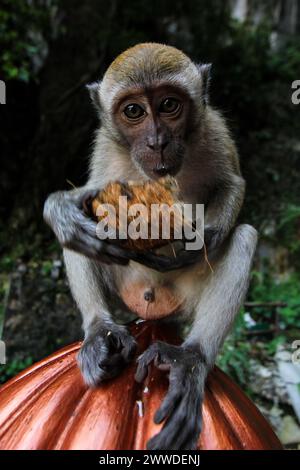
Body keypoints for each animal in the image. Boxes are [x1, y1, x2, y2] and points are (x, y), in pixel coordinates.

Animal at [43, 44, 256, 452]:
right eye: (134, 111)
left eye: (169, 104)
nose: (157, 142)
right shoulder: (104, 148)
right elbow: (88, 196)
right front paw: (61, 209)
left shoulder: (212, 128)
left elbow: (233, 184)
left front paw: (203, 238)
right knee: (83, 242)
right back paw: (100, 332)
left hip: (184, 298)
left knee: (245, 237)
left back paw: (188, 361)